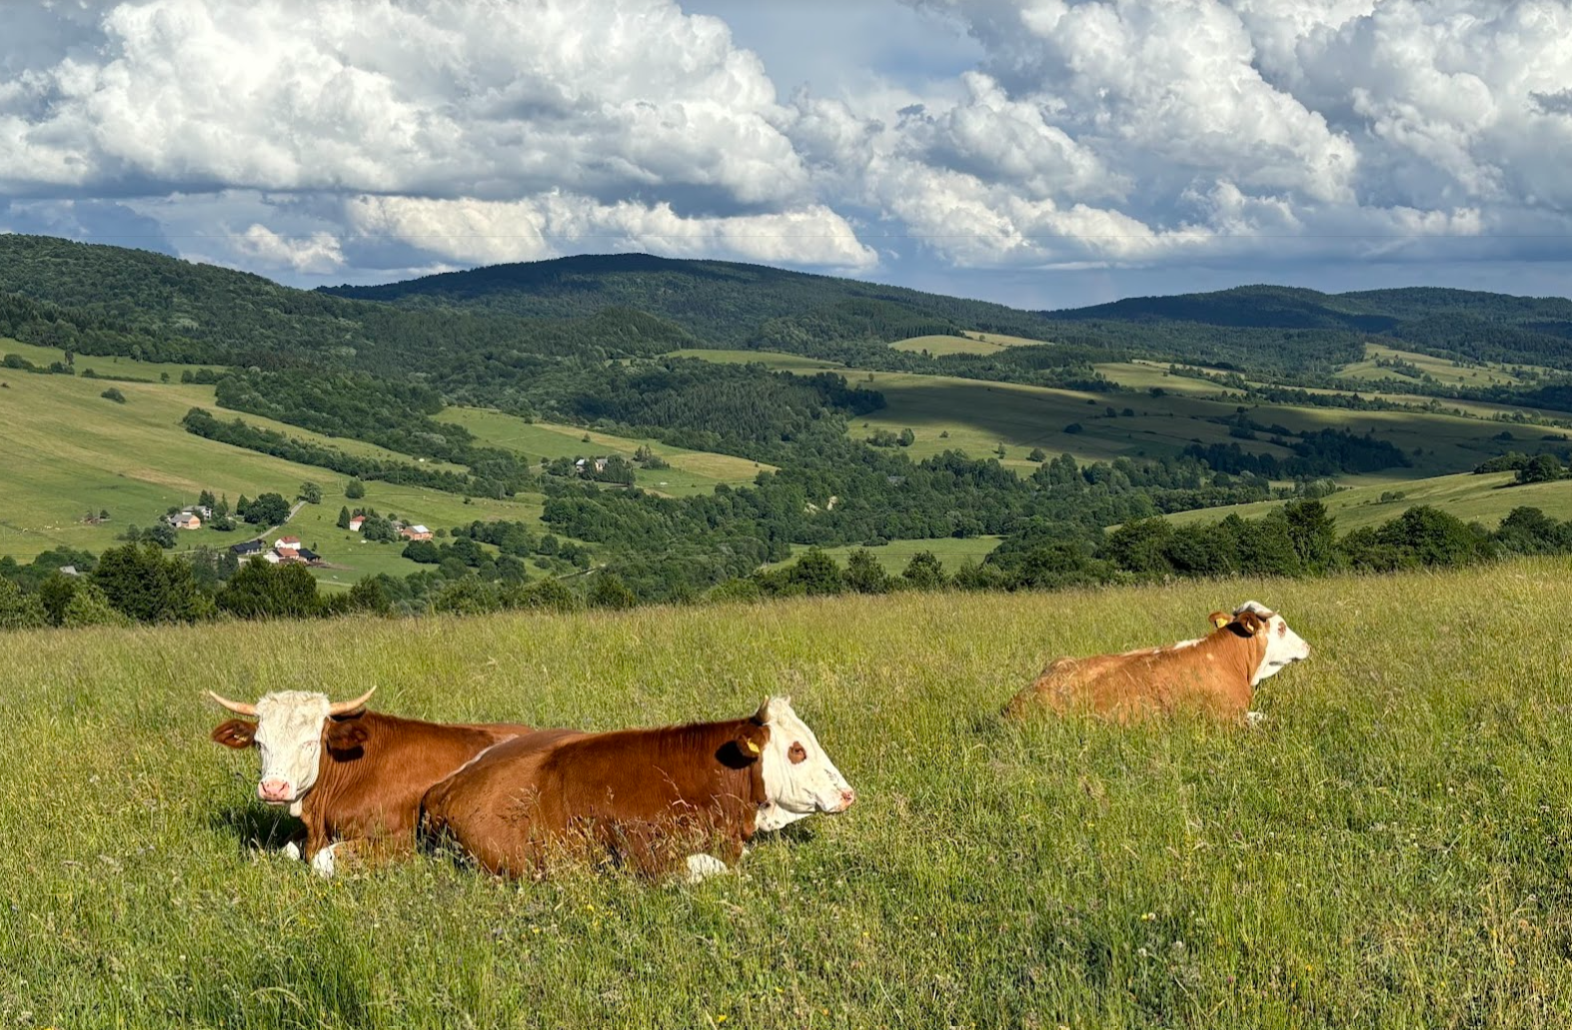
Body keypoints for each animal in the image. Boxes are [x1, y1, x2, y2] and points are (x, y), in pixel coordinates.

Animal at [209, 688, 534, 874]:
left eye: (311, 743)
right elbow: (286, 849)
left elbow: (321, 861)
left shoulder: (400, 840)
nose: (274, 788)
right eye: (259, 743)